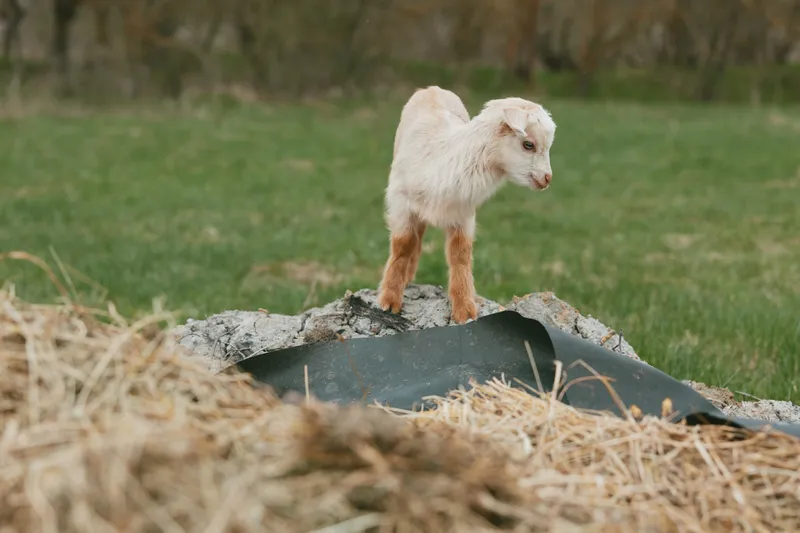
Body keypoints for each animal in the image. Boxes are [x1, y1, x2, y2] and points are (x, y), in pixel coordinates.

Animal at [377, 86, 556, 324]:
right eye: (528, 144)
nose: (547, 179)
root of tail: (432, 88)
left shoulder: (463, 213)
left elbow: (460, 254)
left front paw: (464, 308)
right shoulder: (400, 202)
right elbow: (403, 245)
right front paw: (389, 300)